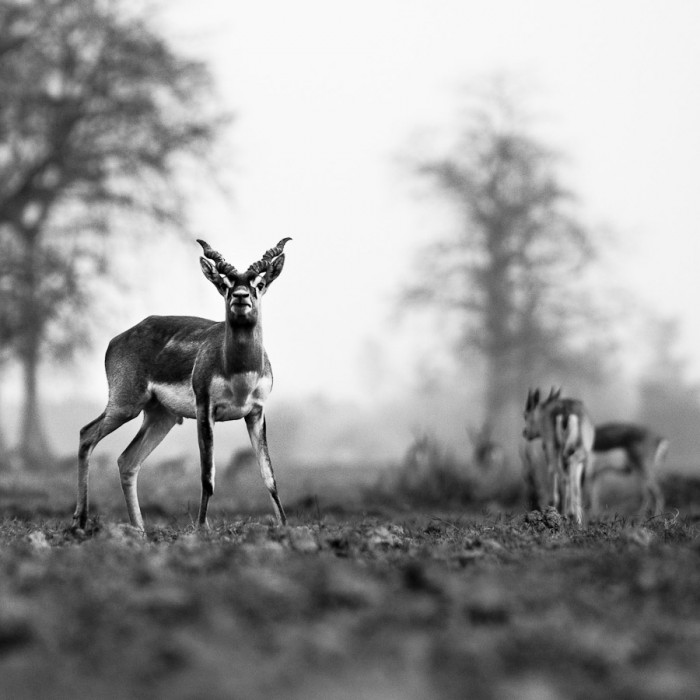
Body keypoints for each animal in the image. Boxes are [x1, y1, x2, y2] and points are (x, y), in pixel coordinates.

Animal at [71, 237, 290, 532]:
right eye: (225, 284)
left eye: (260, 283)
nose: (240, 297)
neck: (238, 370)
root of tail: (117, 339)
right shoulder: (205, 409)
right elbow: (207, 475)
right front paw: (202, 528)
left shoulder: (256, 412)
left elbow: (269, 475)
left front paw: (285, 527)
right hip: (125, 405)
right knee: (87, 435)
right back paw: (80, 521)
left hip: (160, 416)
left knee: (127, 461)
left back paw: (140, 531)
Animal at [524, 388, 592, 524]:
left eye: (525, 415)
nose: (525, 432)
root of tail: (566, 411)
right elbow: (576, 485)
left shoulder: (548, 453)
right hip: (577, 451)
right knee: (571, 479)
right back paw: (573, 517)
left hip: (555, 451)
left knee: (564, 478)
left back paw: (566, 515)